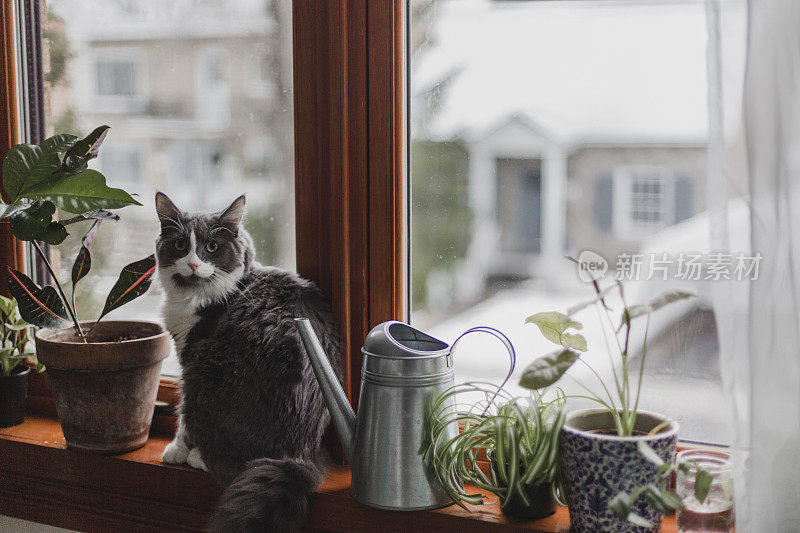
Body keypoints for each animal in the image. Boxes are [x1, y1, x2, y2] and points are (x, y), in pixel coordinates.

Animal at [155, 192, 342, 532]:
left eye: (211, 247)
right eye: (180, 245)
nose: (193, 263)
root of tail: (294, 456)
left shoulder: (192, 355)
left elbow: (182, 411)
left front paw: (178, 448)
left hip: (207, 376)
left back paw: (198, 457)